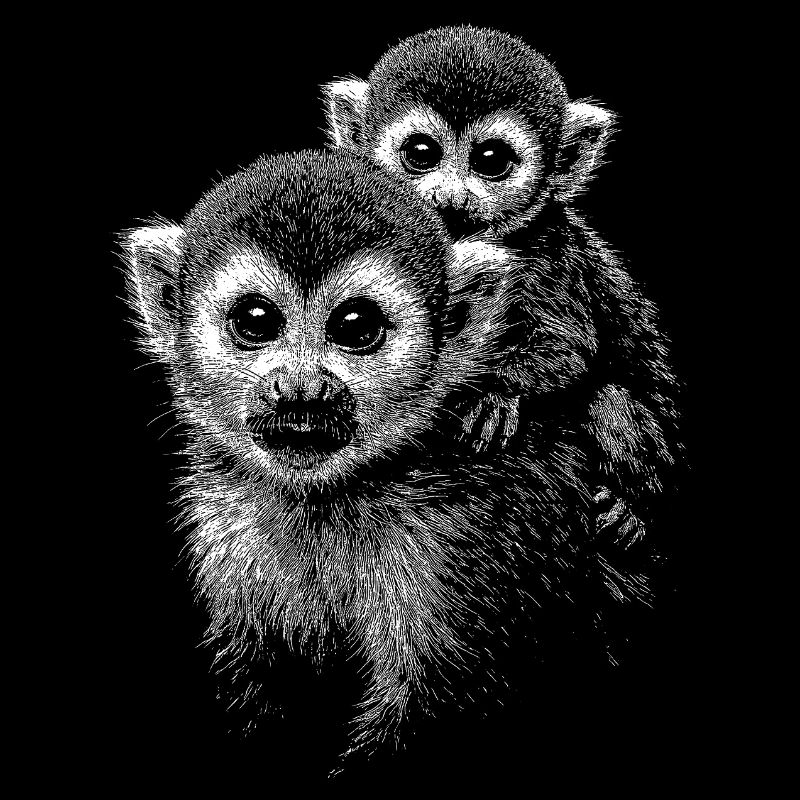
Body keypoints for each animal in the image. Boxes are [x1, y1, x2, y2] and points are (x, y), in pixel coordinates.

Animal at [122, 148, 652, 778]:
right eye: (255, 321)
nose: (302, 390)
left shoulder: (475, 532)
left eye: (356, 327)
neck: (332, 500)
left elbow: (441, 704)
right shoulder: (227, 523)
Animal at [321, 25, 681, 551]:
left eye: (492, 161)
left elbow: (568, 348)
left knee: (609, 399)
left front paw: (493, 394)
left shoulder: (546, 251)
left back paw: (633, 509)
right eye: (421, 154)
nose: (451, 199)